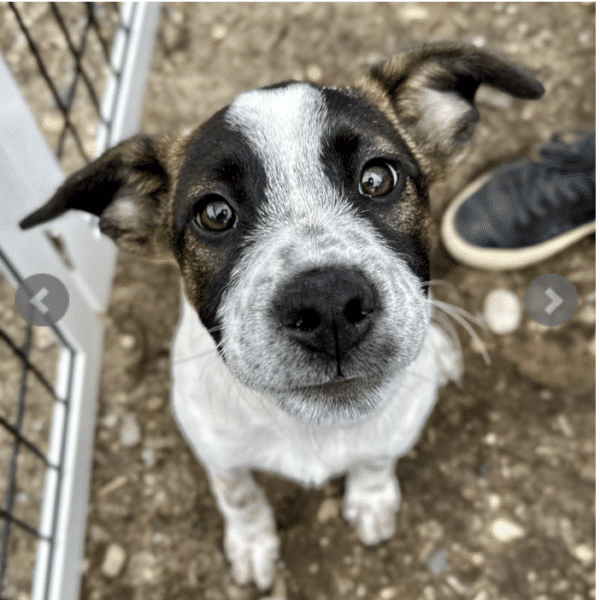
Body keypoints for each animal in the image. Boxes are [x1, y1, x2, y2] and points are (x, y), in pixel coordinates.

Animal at [18, 43, 544, 592]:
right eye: (215, 214)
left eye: (378, 178)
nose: (329, 305)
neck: (308, 427)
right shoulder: (217, 452)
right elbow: (240, 497)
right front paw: (252, 545)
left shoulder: (395, 427)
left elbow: (377, 459)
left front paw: (372, 498)